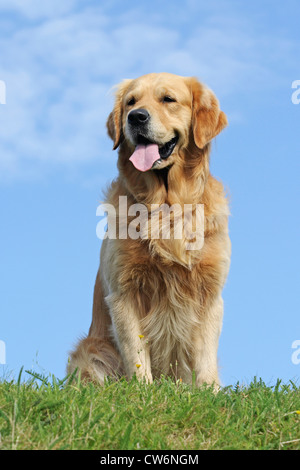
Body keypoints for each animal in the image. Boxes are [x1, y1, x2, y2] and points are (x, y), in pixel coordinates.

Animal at [68, 72, 231, 390]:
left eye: (168, 99)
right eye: (131, 102)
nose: (136, 117)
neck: (166, 206)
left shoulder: (209, 291)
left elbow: (205, 356)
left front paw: (210, 392)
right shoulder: (124, 292)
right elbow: (136, 351)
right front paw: (143, 391)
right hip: (92, 350)